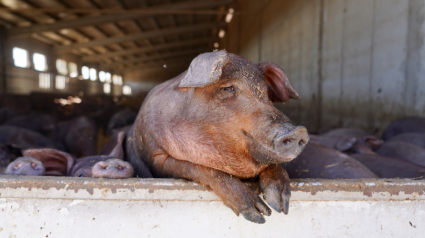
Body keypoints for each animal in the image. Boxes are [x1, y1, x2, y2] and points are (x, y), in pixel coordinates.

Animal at [126, 49, 308, 223]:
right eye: (228, 88)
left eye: (266, 92)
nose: (298, 131)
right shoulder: (156, 157)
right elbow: (202, 169)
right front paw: (259, 214)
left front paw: (279, 206)